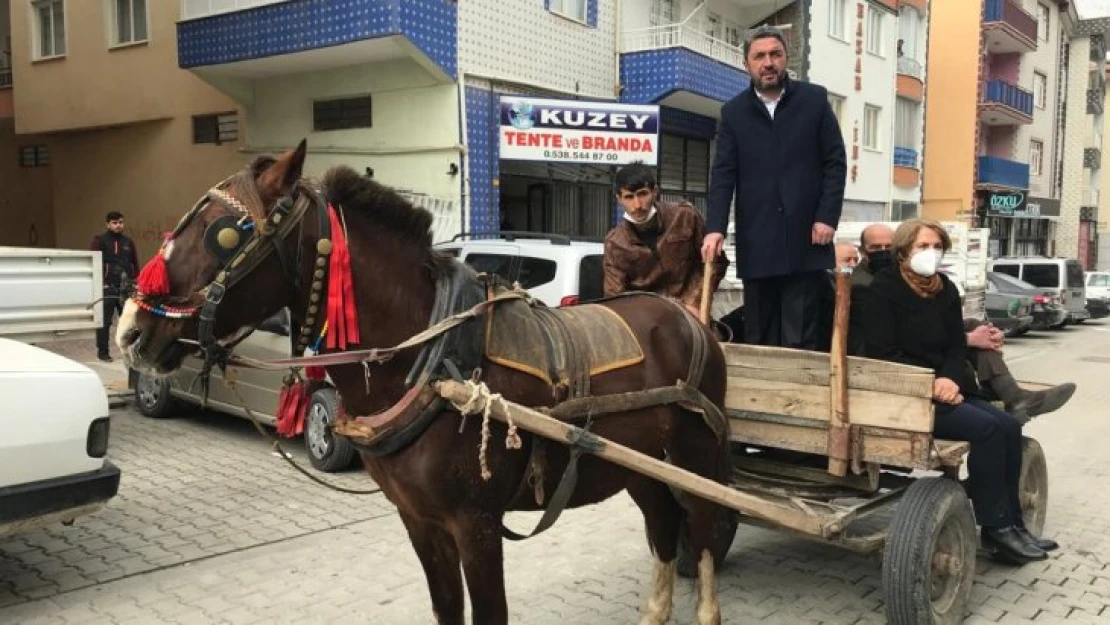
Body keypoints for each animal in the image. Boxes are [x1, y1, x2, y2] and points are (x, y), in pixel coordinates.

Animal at [117, 142, 732, 625]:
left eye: (222, 235)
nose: (130, 329)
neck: (428, 357)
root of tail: (688, 317)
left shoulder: (476, 525)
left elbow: (487, 614)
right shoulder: (419, 520)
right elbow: (446, 609)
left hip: (697, 459)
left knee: (701, 537)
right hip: (639, 465)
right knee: (663, 527)